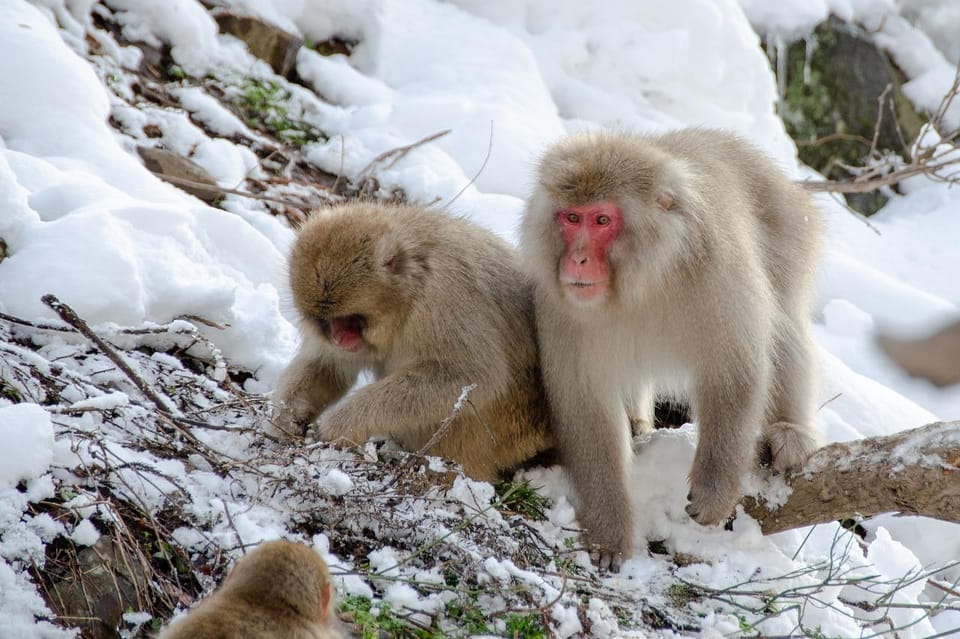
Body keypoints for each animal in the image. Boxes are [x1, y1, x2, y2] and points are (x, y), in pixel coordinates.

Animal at [269, 202, 552, 482]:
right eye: (326, 321)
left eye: (349, 319)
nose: (339, 338)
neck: (412, 286)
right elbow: (328, 366)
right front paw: (286, 417)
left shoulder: (446, 295)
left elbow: (469, 375)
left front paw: (341, 422)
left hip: (506, 433)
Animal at [519, 129, 824, 569]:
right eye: (571, 218)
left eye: (602, 220)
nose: (576, 260)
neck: (643, 282)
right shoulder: (562, 308)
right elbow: (587, 406)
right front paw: (609, 531)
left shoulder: (716, 272)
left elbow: (735, 371)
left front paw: (715, 489)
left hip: (788, 230)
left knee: (784, 321)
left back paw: (790, 432)